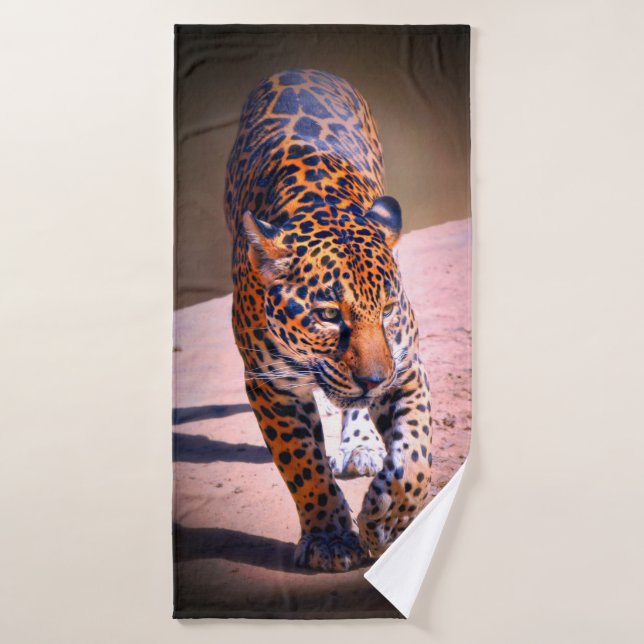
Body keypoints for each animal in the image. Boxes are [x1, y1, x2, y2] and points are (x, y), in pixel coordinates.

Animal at [224, 69, 433, 571]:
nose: (374, 380)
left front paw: (389, 517)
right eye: (327, 315)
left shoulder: (406, 365)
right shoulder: (269, 382)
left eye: (388, 310)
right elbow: (302, 464)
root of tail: (300, 68)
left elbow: (416, 451)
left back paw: (361, 443)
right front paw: (330, 538)